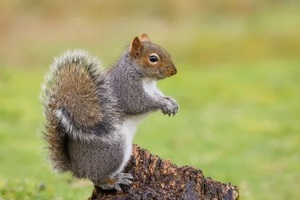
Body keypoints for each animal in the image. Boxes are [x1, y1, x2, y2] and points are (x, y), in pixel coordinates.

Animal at [41, 33, 178, 191]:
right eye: (153, 59)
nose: (174, 71)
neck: (145, 79)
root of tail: (77, 169)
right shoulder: (127, 89)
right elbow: (139, 104)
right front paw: (163, 104)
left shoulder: (152, 90)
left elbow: (159, 95)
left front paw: (171, 101)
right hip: (114, 148)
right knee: (98, 179)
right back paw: (115, 181)